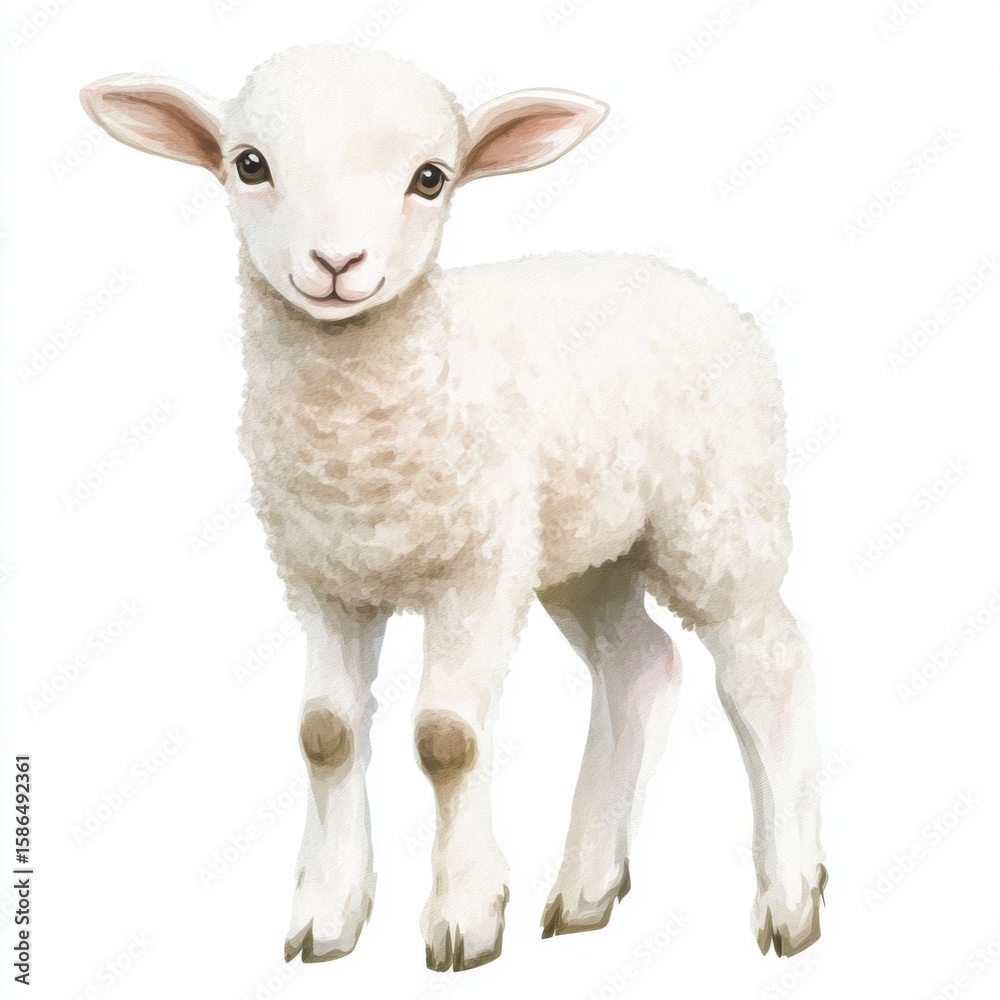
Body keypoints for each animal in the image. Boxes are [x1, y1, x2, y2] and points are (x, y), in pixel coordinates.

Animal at [80, 41, 826, 971]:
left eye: (430, 178)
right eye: (249, 164)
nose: (337, 265)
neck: (360, 447)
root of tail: (683, 280)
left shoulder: (477, 568)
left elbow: (447, 740)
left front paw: (465, 916)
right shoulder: (323, 575)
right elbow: (324, 734)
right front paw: (327, 914)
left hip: (719, 511)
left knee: (768, 668)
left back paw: (790, 898)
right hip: (582, 546)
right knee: (640, 667)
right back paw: (586, 889)